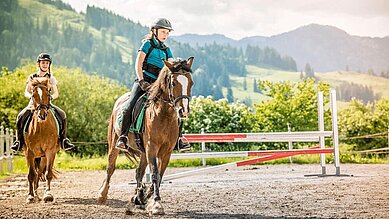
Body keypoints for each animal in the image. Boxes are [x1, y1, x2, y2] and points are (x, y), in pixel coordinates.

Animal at [97, 57, 194, 216]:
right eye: (173, 83)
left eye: (191, 82)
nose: (183, 111)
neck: (164, 115)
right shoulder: (152, 148)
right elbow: (154, 173)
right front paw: (156, 204)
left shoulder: (166, 152)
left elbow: (159, 176)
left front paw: (147, 197)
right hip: (114, 143)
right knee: (110, 167)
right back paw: (102, 195)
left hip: (143, 151)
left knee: (139, 172)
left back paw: (138, 198)